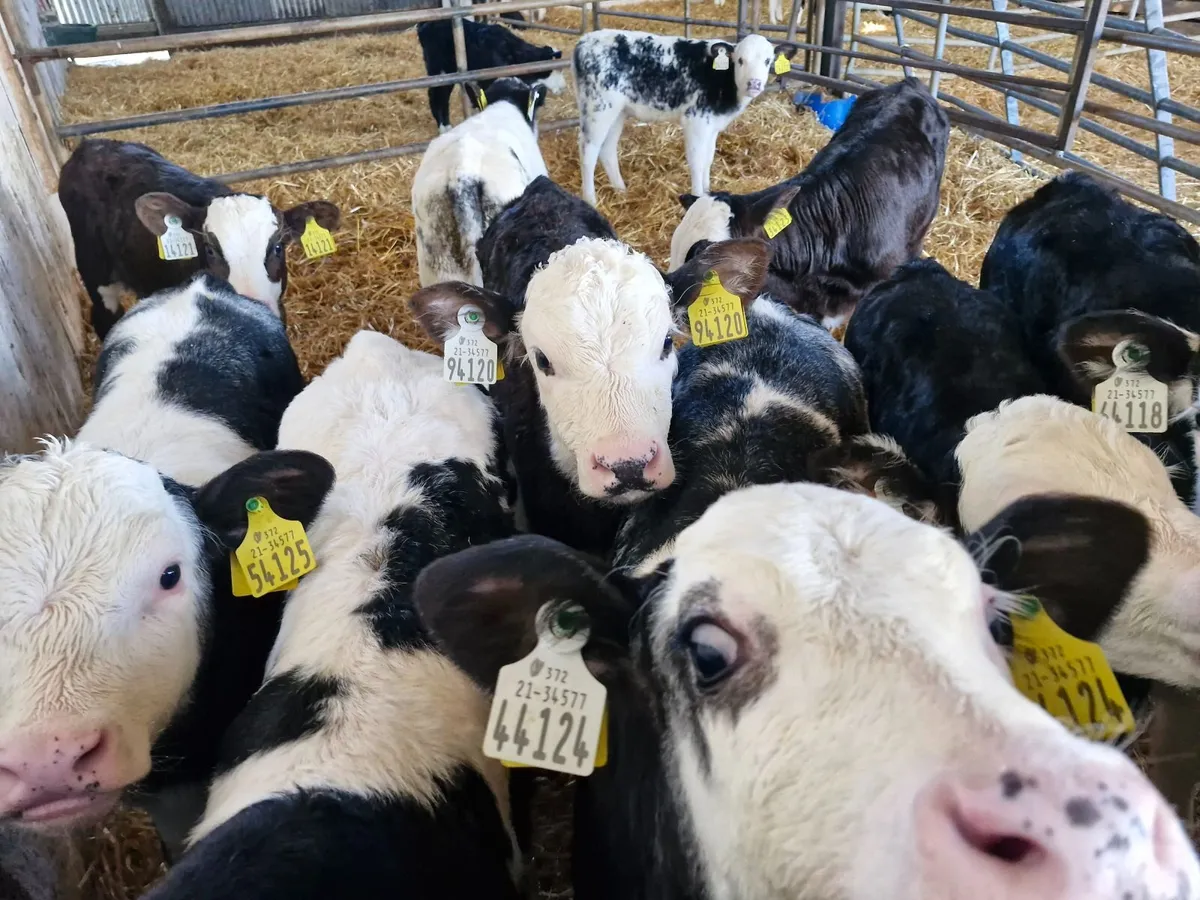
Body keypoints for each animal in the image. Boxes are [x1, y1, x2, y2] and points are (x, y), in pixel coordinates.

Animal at [417, 18, 565, 133]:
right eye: (553, 70)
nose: (563, 87)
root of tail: (426, 25)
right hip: (440, 71)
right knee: (437, 96)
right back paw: (444, 128)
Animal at [572, 31, 797, 203]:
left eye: (768, 61)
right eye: (741, 60)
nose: (754, 84)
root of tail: (584, 41)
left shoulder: (712, 125)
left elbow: (708, 158)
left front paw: (707, 191)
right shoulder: (696, 121)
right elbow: (697, 161)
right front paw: (697, 196)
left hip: (617, 111)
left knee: (607, 149)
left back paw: (621, 190)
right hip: (598, 107)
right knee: (588, 151)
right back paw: (590, 199)